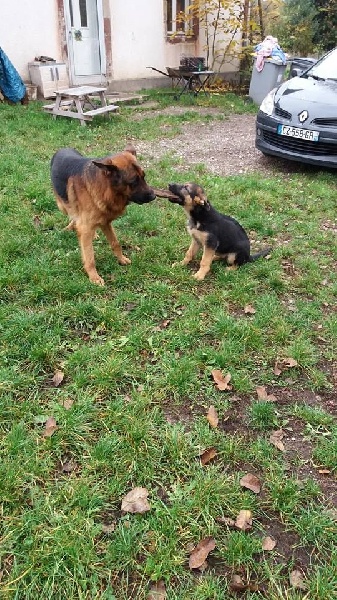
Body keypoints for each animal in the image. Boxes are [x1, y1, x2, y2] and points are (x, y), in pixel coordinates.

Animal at [50, 146, 156, 286]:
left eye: (144, 176)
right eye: (133, 182)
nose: (154, 196)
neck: (105, 187)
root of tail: (62, 149)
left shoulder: (106, 222)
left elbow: (115, 243)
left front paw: (121, 259)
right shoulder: (87, 226)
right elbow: (89, 256)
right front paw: (94, 277)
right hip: (61, 205)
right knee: (73, 215)